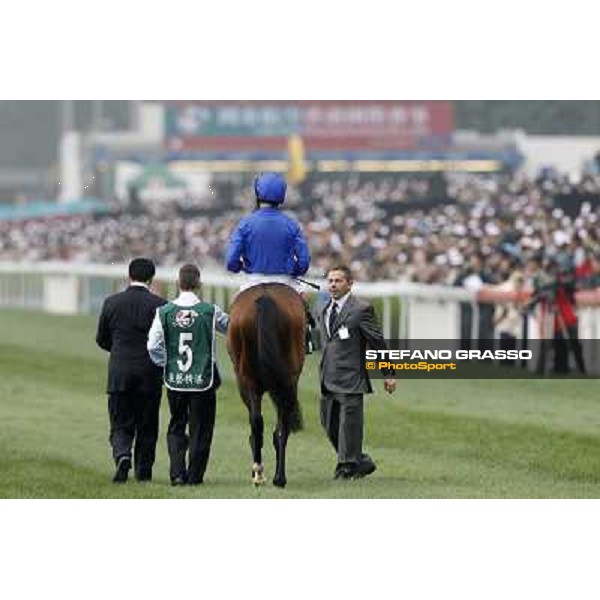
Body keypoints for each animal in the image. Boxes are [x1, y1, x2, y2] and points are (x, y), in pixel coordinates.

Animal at [227, 282, 308, 488]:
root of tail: (265, 296)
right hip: (285, 380)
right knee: (279, 426)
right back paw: (278, 477)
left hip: (248, 380)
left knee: (259, 422)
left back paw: (261, 474)